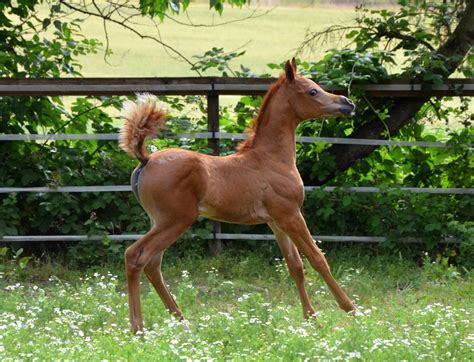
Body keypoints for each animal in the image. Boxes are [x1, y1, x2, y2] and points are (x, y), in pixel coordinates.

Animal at [120, 59, 358, 334]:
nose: (347, 103)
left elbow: (295, 266)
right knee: (136, 256)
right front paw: (351, 310)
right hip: (175, 220)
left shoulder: (276, 221)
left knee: (152, 264)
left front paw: (311, 318)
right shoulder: (291, 215)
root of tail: (145, 159)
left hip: (160, 222)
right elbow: (317, 259)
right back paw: (138, 329)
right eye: (312, 91)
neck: (271, 158)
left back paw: (182, 321)